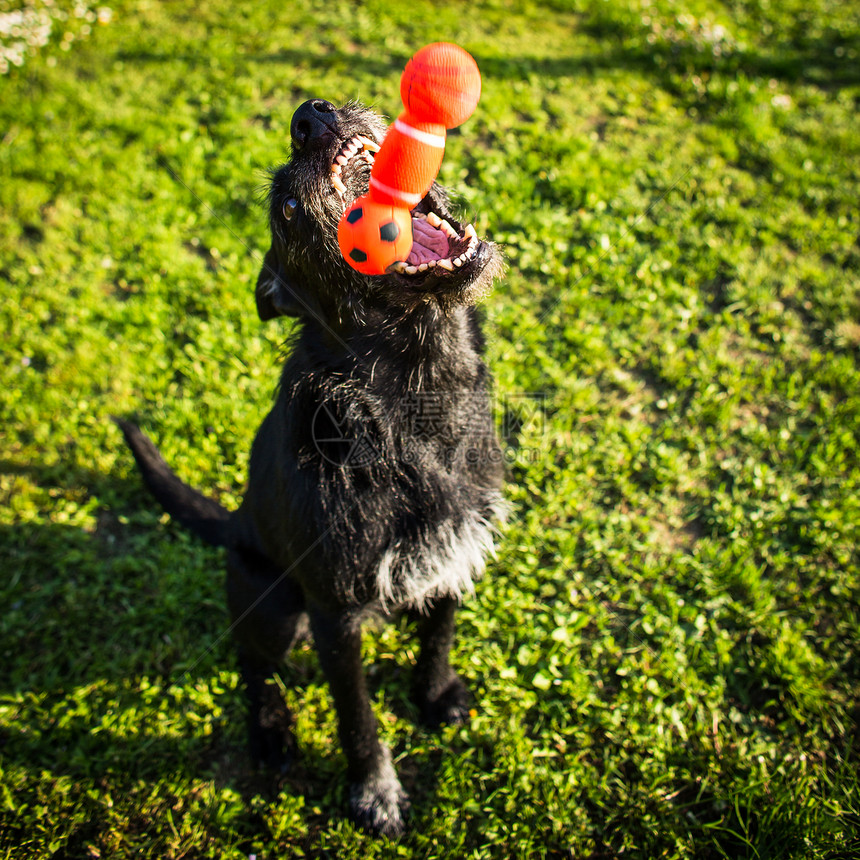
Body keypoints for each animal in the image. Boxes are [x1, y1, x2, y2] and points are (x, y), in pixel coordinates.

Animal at [114, 97, 504, 836]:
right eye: (290, 210)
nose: (308, 117)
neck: (415, 399)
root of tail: (233, 522)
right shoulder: (334, 617)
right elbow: (357, 718)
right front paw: (374, 791)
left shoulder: (451, 552)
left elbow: (439, 635)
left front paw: (434, 694)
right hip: (271, 605)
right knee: (250, 663)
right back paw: (269, 732)